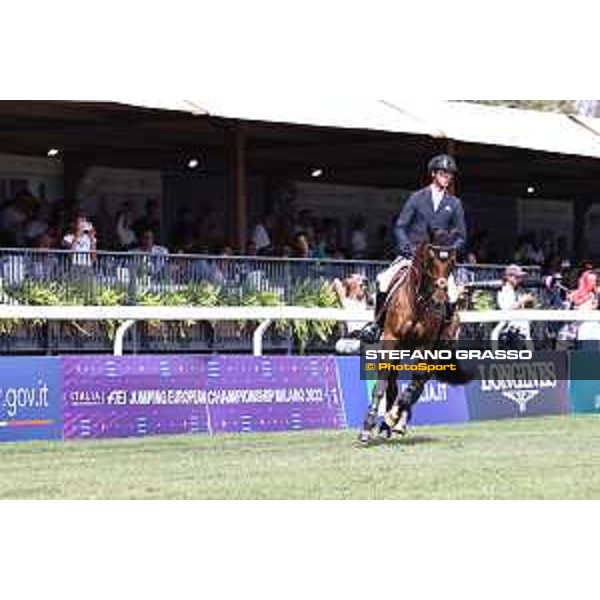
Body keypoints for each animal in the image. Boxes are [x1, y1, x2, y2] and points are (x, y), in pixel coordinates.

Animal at [358, 231, 466, 446]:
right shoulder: (391, 340)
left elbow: (414, 384)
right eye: (430, 260)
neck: (418, 300)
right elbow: (381, 385)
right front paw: (367, 428)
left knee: (417, 386)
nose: (439, 300)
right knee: (394, 384)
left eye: (452, 261)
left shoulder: (425, 346)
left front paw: (391, 419)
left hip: (437, 352)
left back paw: (396, 422)